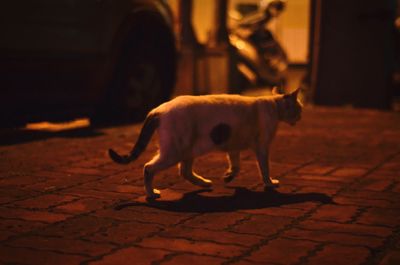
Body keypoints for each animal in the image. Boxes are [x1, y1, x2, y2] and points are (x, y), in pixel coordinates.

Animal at [108, 88, 302, 198]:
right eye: (299, 108)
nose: (301, 117)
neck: (274, 105)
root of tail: (158, 109)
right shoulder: (262, 147)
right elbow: (265, 169)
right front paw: (270, 183)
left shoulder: (233, 146)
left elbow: (236, 165)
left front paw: (229, 176)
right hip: (174, 151)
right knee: (148, 168)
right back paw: (151, 193)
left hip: (188, 149)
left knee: (185, 171)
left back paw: (205, 183)